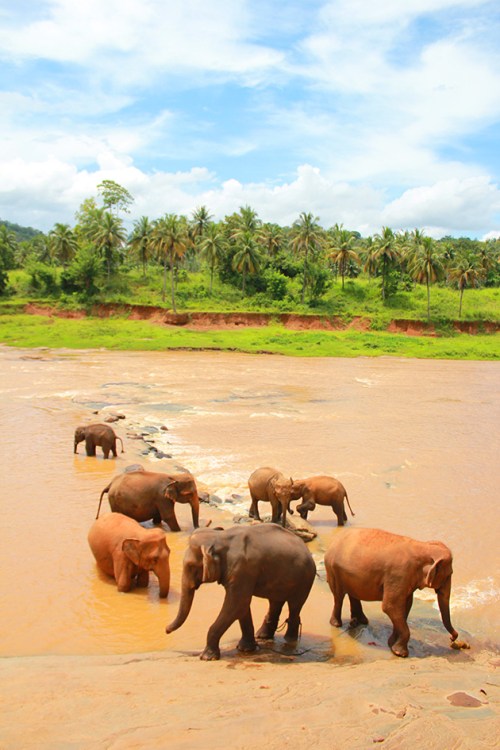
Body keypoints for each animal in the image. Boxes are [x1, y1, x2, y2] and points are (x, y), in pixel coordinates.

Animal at [166, 524, 316, 661]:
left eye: (191, 566)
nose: (166, 630)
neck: (219, 537)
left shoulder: (242, 570)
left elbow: (237, 603)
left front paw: (207, 657)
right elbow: (241, 606)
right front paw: (245, 649)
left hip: (305, 580)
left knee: (295, 605)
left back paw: (289, 641)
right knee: (275, 602)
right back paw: (263, 636)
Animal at [324, 528, 461, 657]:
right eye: (449, 574)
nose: (452, 638)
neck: (422, 545)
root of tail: (333, 541)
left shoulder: (405, 580)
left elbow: (405, 606)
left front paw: (391, 644)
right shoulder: (398, 575)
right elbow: (390, 607)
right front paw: (401, 653)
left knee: (352, 594)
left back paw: (360, 621)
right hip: (332, 569)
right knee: (339, 596)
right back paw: (337, 624)